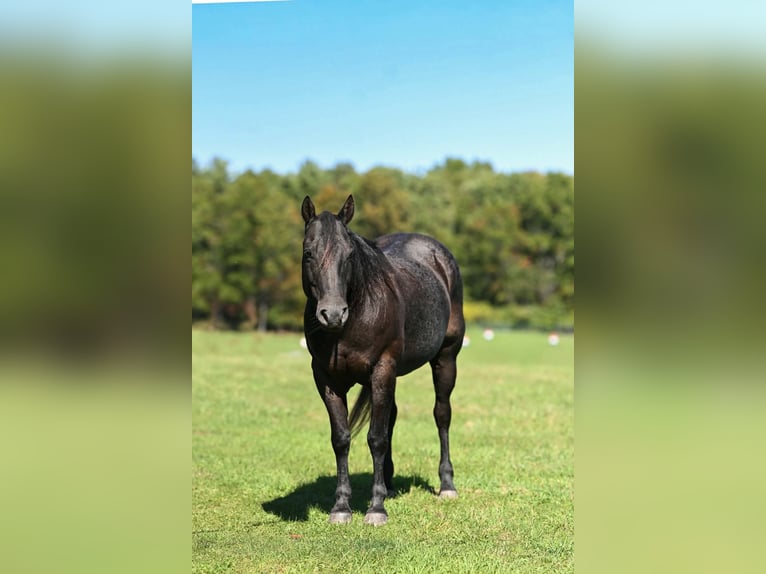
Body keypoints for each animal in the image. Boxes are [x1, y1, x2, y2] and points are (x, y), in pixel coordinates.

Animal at [301, 194, 465, 525]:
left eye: (350, 254)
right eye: (308, 253)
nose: (332, 314)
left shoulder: (382, 369)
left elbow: (376, 437)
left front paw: (376, 509)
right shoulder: (325, 379)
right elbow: (342, 438)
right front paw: (341, 507)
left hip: (445, 359)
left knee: (442, 414)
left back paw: (446, 485)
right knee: (392, 417)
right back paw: (388, 483)